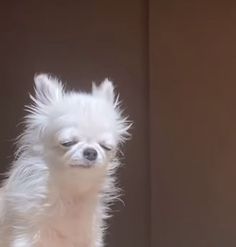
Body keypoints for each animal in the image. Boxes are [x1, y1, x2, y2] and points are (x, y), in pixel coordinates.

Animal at [0, 74, 131, 246]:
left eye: (105, 147)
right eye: (67, 142)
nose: (91, 152)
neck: (71, 191)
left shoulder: (89, 236)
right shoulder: (25, 233)